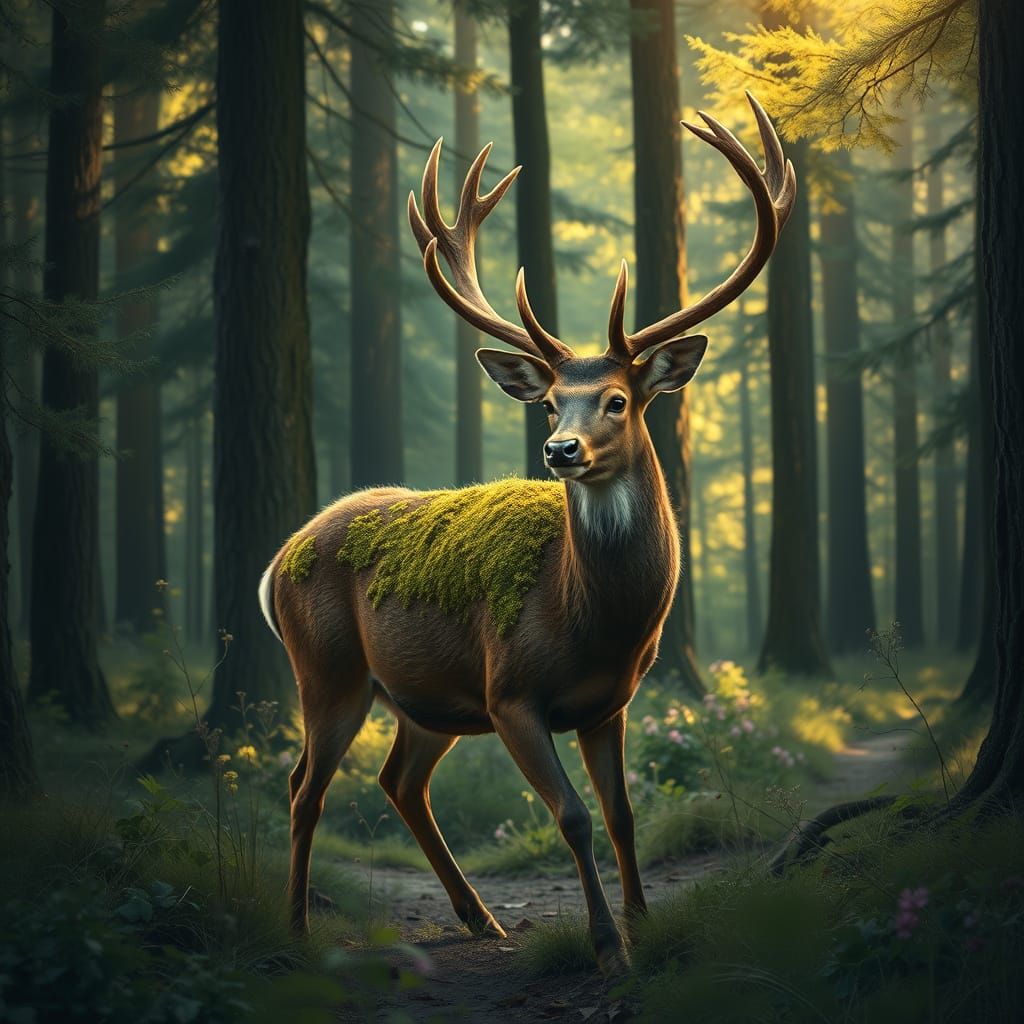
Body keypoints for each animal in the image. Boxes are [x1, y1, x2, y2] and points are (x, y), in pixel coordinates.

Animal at [260, 92, 794, 974]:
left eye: (616, 399)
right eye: (549, 403)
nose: (560, 450)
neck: (592, 620)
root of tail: (277, 563)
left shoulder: (610, 702)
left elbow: (622, 814)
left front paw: (643, 925)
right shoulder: (511, 691)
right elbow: (573, 816)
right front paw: (606, 943)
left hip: (424, 696)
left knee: (398, 781)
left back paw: (480, 918)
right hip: (328, 667)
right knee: (307, 785)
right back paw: (299, 925)